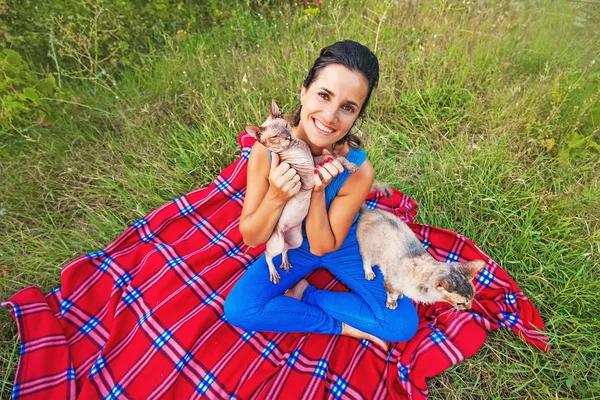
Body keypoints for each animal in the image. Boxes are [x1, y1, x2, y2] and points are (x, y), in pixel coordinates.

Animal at [246, 98, 358, 282]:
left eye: (286, 125)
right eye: (275, 137)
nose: (288, 136)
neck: (297, 147)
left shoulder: (315, 160)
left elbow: (337, 158)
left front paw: (351, 166)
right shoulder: (308, 176)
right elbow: (334, 161)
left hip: (296, 239)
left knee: (285, 249)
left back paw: (285, 262)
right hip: (276, 243)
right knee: (268, 254)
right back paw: (273, 272)